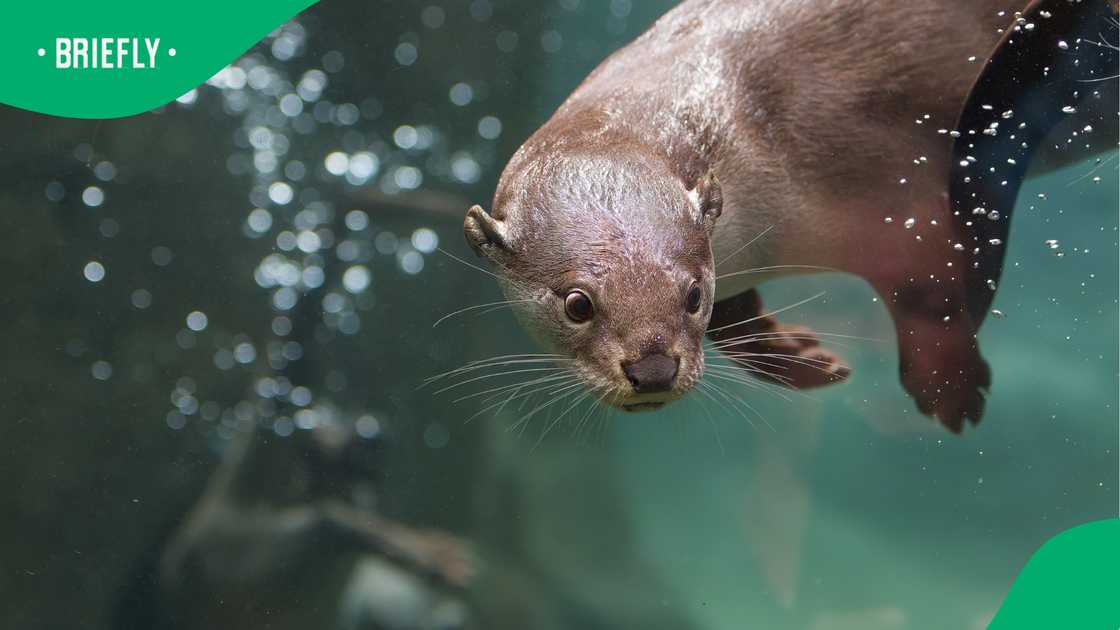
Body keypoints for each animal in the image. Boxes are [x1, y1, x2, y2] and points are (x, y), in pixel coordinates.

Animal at [463, 0, 1117, 432]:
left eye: (691, 294)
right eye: (578, 304)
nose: (653, 370)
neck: (751, 129)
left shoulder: (899, 196)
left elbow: (932, 292)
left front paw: (948, 386)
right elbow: (737, 324)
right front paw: (803, 360)